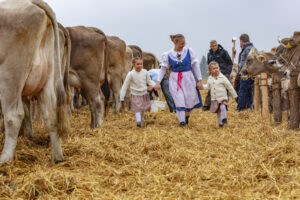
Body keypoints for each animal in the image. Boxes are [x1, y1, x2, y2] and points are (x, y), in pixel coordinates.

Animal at [0, 0, 68, 162]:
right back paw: (57, 157)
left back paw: (5, 158)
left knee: (14, 115)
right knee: (50, 114)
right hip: (47, 78)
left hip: (10, 74)